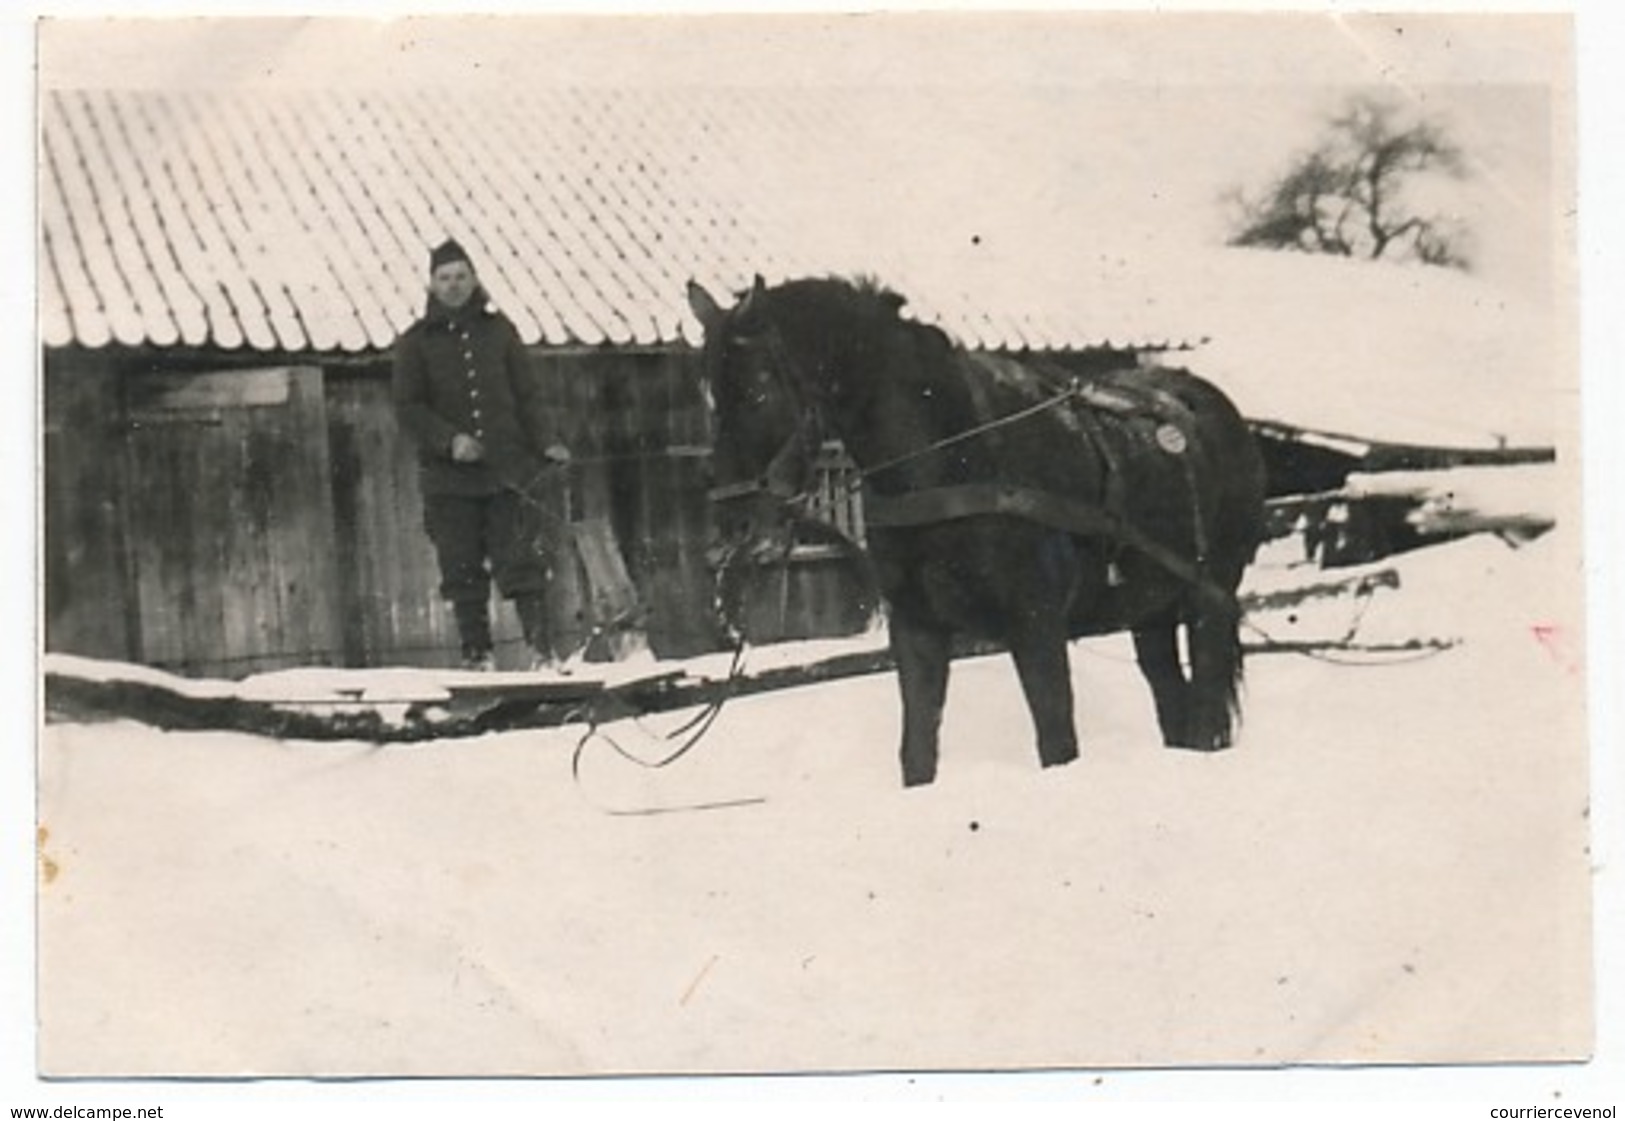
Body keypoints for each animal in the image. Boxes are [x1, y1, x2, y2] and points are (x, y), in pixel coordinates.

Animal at [685, 276, 1267, 786]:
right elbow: (917, 754)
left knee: (1205, 709)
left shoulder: (1037, 627)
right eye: (708, 396)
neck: (954, 458)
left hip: (1209, 597)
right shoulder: (917, 629)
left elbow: (1057, 742)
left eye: (758, 392)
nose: (734, 520)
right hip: (1149, 609)